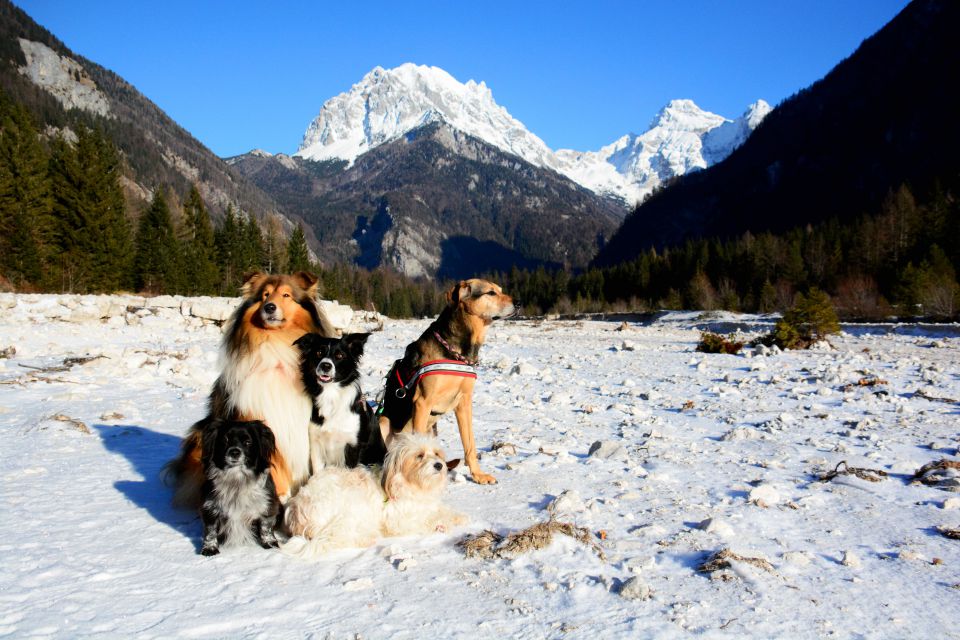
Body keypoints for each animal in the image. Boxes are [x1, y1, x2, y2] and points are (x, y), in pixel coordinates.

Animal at [198, 420, 282, 556]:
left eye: (248, 442)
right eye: (225, 440)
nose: (234, 452)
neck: (237, 480)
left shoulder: (268, 503)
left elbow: (266, 525)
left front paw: (270, 543)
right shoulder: (209, 507)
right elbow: (211, 530)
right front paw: (210, 549)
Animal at [282, 432, 464, 556]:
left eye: (437, 453)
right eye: (419, 455)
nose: (439, 465)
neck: (412, 485)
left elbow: (441, 509)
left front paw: (456, 516)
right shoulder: (398, 520)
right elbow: (424, 520)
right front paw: (441, 523)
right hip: (349, 507)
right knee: (341, 537)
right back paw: (366, 538)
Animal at [294, 336, 380, 470]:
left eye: (339, 355)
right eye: (319, 352)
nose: (325, 365)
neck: (331, 394)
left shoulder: (353, 444)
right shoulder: (316, 441)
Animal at [374, 278, 512, 482]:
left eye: (500, 290)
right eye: (491, 293)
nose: (519, 304)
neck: (455, 352)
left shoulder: (464, 402)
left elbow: (469, 445)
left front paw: (478, 475)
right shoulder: (422, 402)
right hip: (382, 422)